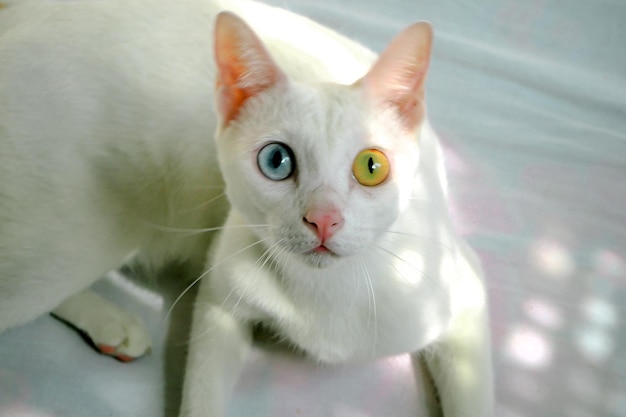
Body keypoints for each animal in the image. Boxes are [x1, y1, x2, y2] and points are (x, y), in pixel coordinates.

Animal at [0, 0, 492, 416]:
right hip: (83, 238)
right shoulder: (220, 297)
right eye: (277, 161)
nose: (323, 219)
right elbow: (202, 395)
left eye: (372, 167)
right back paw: (109, 319)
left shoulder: (463, 294)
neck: (324, 296)